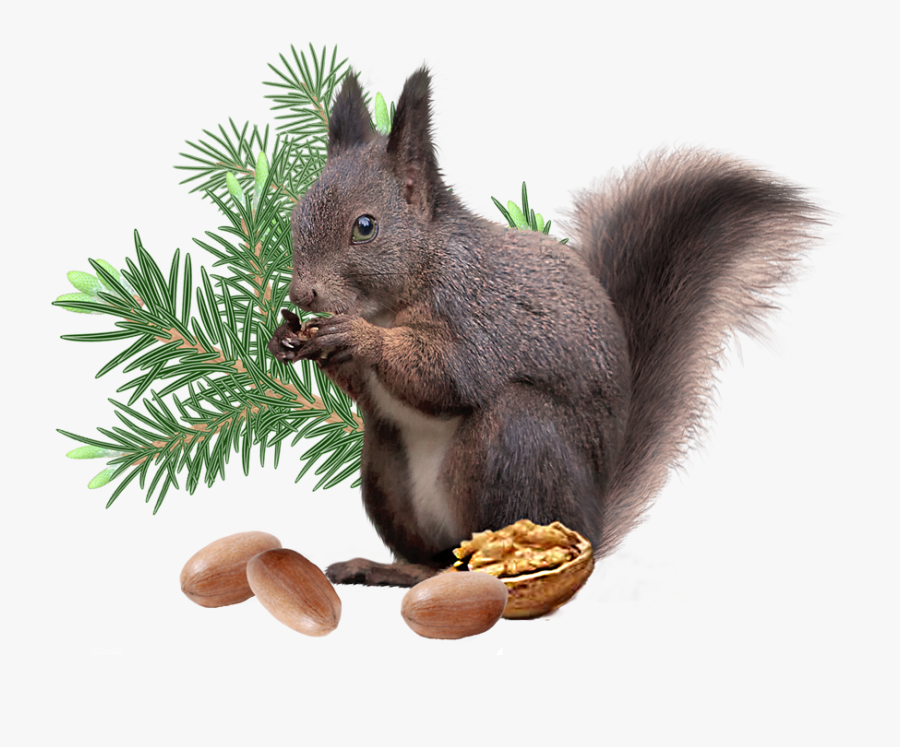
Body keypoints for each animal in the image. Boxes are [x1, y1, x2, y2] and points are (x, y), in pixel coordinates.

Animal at [268, 67, 821, 587]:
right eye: (296, 216)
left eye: (365, 227)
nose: (301, 295)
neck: (410, 279)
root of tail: (592, 526)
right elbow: (368, 390)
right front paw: (289, 339)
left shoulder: (480, 312)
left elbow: (450, 374)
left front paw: (359, 338)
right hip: (385, 467)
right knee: (433, 552)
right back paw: (393, 569)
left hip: (518, 442)